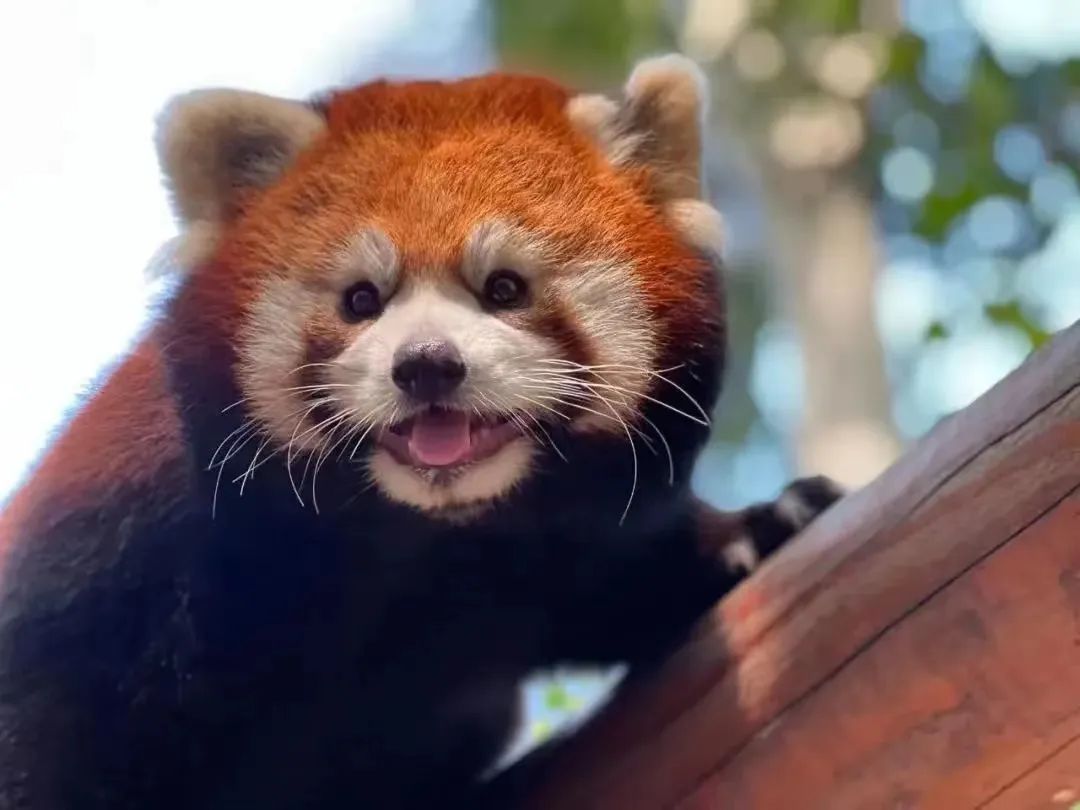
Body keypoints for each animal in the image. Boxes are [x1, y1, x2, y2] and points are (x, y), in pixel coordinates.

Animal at [0, 57, 838, 810]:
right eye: (361, 299)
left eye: (504, 287)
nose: (427, 366)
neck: (426, 548)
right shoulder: (110, 568)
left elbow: (623, 581)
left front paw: (759, 526)